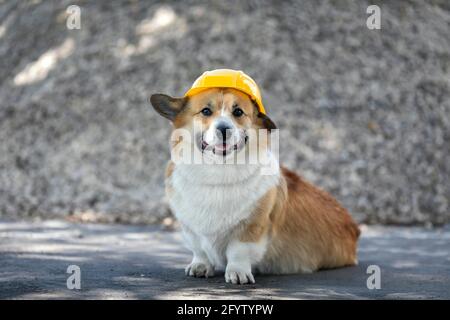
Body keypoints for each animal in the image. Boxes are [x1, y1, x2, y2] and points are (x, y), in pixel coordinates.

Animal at [149, 79, 360, 284]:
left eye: (238, 112)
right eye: (206, 111)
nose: (224, 129)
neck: (218, 172)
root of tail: (355, 230)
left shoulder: (251, 227)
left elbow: (238, 251)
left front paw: (238, 273)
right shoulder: (190, 228)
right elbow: (199, 249)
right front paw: (200, 266)